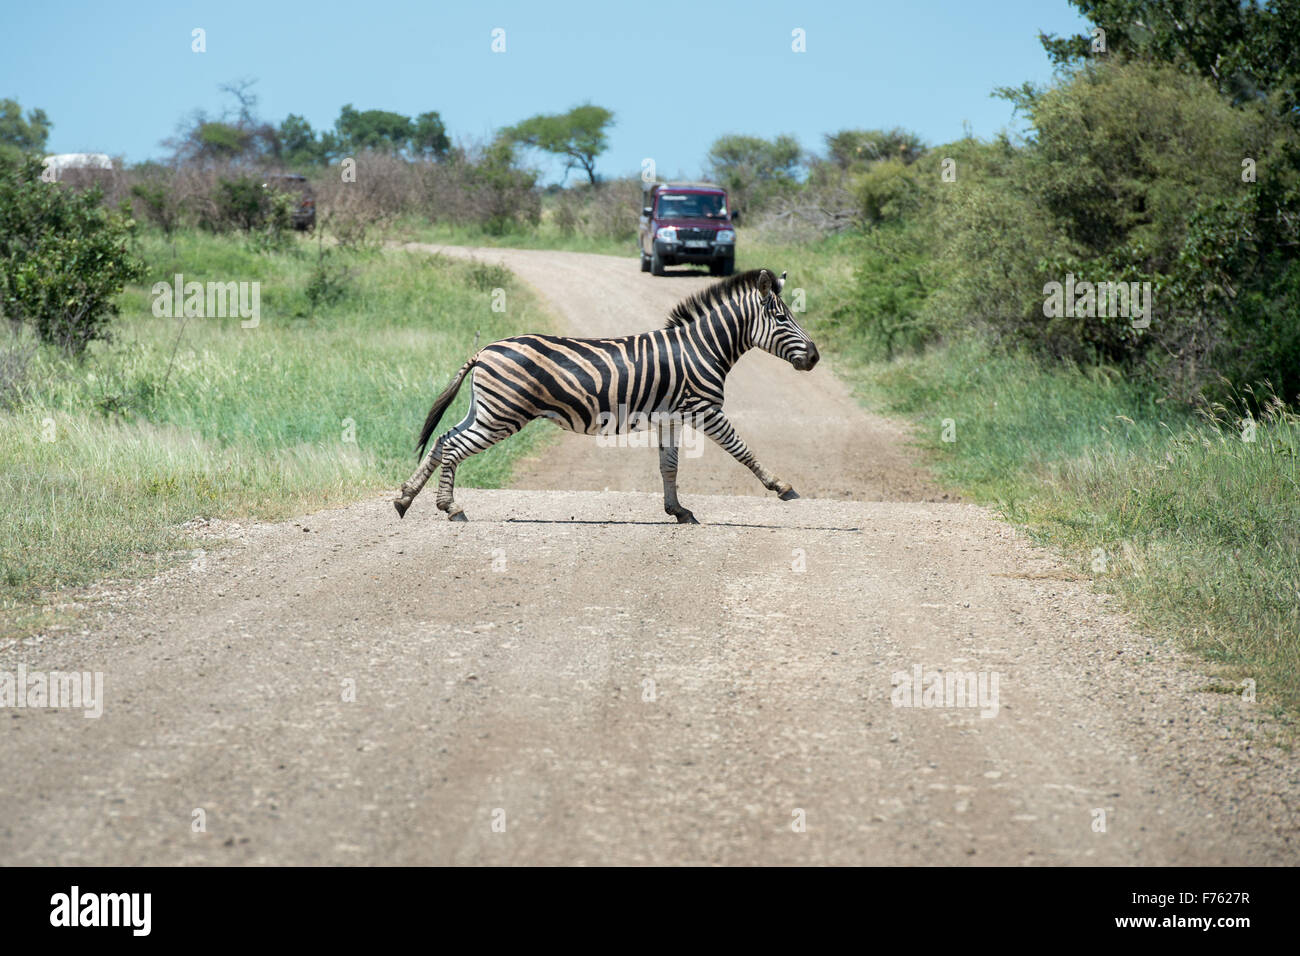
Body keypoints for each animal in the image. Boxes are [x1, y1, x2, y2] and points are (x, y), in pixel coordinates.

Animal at [395, 267, 821, 522]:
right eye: (782, 318)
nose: (815, 356)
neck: (701, 348)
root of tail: (484, 350)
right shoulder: (705, 410)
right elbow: (743, 451)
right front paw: (782, 487)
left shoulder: (671, 418)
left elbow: (669, 466)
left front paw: (677, 510)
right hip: (502, 414)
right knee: (453, 446)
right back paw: (450, 508)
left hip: (485, 409)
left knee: (443, 440)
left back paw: (404, 499)